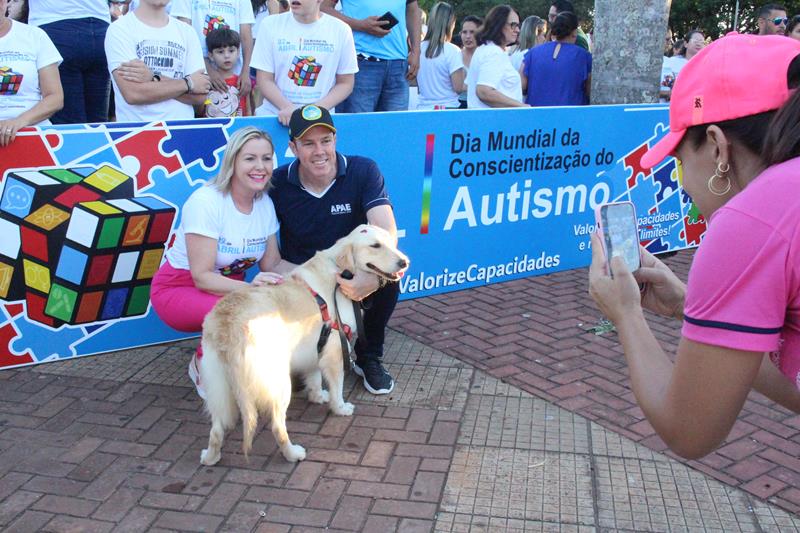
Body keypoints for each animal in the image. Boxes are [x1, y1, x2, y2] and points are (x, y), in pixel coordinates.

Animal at [198, 222, 410, 464]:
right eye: (375, 246)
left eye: (392, 243)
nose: (404, 262)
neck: (340, 270)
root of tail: (227, 326)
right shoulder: (335, 350)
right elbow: (337, 387)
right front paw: (339, 407)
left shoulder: (317, 345)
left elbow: (315, 376)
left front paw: (317, 396)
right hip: (278, 383)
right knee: (277, 426)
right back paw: (293, 453)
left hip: (218, 387)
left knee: (216, 429)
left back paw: (210, 457)